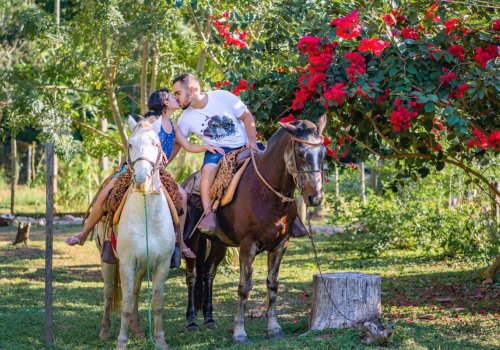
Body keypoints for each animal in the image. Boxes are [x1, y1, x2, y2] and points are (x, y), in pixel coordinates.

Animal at [94, 117, 175, 350]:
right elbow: (126, 303)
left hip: (141, 267)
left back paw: (138, 329)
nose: (141, 179)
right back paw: (105, 331)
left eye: (156, 144)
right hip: (108, 262)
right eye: (130, 144)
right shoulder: (127, 263)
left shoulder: (163, 264)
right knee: (109, 292)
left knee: (138, 292)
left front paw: (160, 339)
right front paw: (121, 341)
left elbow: (156, 303)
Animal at [182, 114, 326, 342]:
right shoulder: (247, 245)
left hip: (219, 244)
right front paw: (240, 333)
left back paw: (209, 319)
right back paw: (191, 322)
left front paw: (274, 329)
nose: (315, 197)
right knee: (192, 276)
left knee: (209, 273)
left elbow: (273, 284)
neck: (267, 192)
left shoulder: (281, 244)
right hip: (191, 242)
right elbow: (244, 287)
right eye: (301, 153)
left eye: (323, 153)